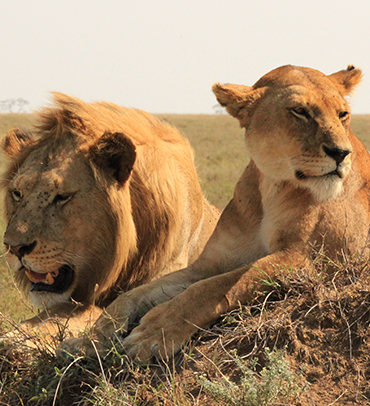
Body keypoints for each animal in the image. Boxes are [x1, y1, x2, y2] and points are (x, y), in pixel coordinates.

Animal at [59, 65, 368, 360]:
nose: (341, 153)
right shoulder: (209, 263)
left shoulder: (308, 259)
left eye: (342, 114)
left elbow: (219, 286)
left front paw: (155, 333)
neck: (271, 186)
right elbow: (132, 296)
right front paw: (89, 340)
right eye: (300, 111)